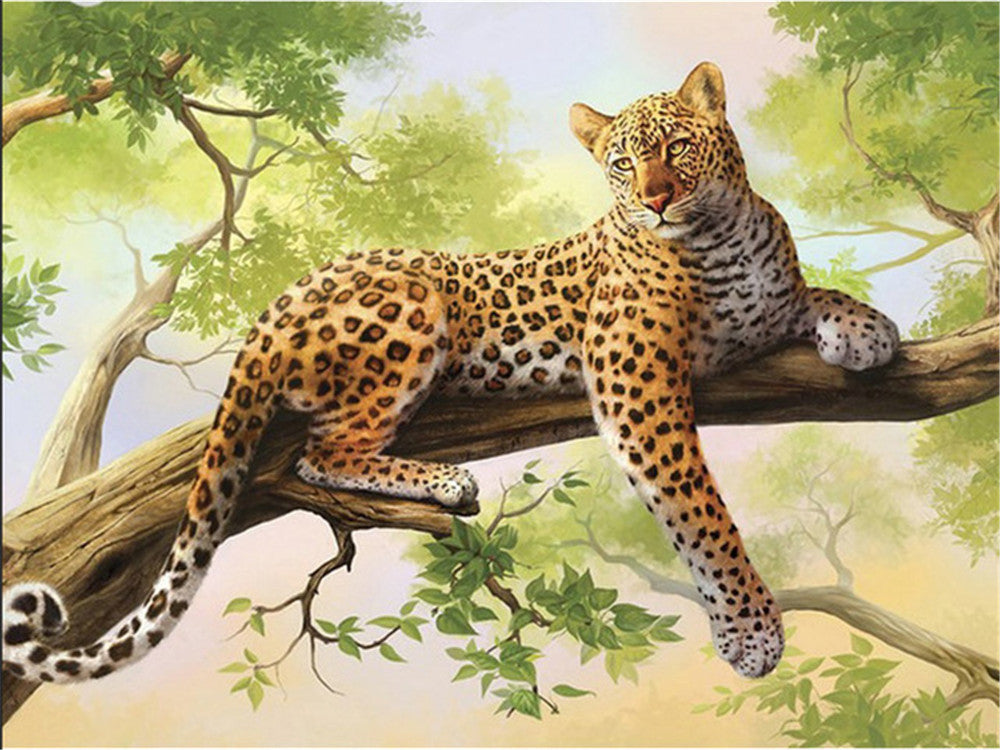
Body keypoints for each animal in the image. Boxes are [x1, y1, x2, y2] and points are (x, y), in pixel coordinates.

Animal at [3, 62, 899, 685]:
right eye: (620, 163)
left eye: (676, 146)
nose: (655, 200)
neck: (720, 234)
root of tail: (275, 305)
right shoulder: (635, 382)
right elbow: (700, 510)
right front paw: (750, 630)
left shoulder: (760, 312)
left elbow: (808, 294)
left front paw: (867, 328)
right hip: (413, 306)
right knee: (322, 452)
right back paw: (445, 483)